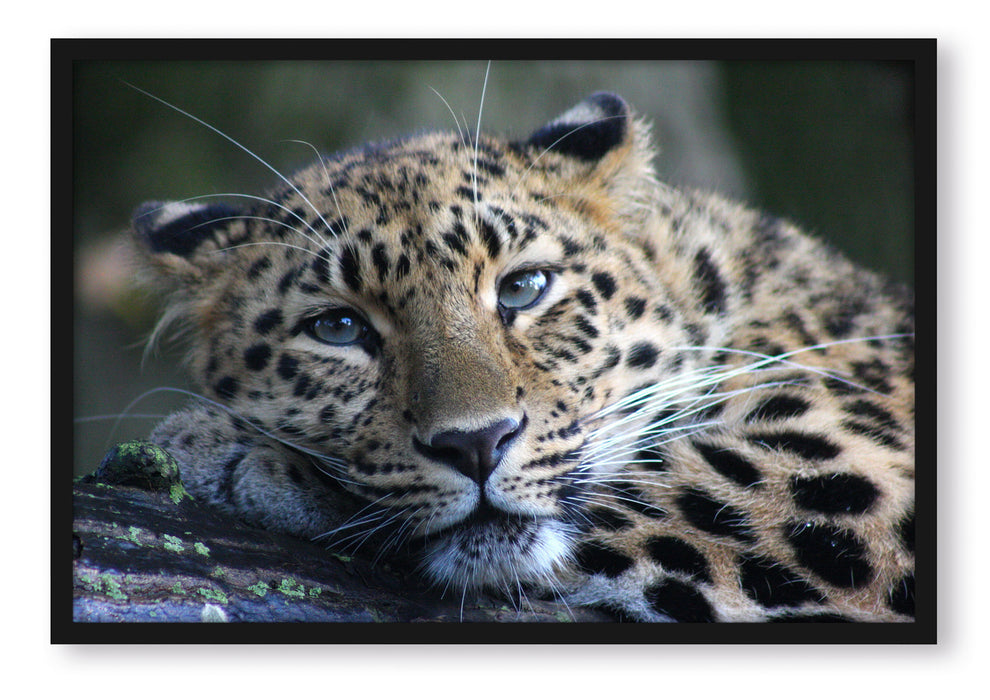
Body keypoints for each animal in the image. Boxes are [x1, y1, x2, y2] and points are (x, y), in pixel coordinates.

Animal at [130, 91, 915, 622]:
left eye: (523, 288)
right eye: (339, 328)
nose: (475, 444)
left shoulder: (859, 472)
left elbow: (653, 490)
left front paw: (228, 452)